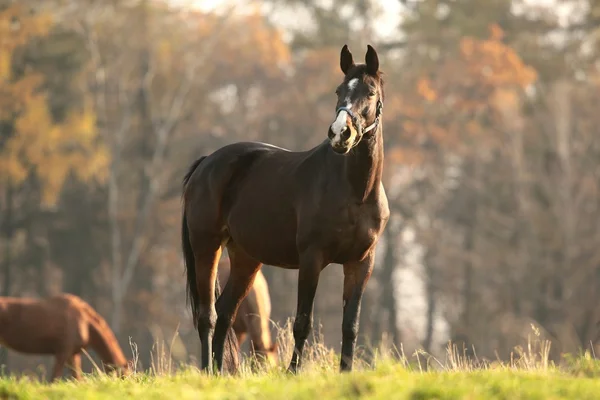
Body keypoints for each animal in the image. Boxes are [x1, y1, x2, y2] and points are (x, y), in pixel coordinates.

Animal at [0, 294, 131, 382]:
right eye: (124, 375)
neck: (85, 322)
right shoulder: (63, 351)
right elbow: (54, 379)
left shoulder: (73, 354)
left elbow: (77, 379)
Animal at [182, 45, 390, 374]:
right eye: (339, 90)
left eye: (370, 92)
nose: (340, 134)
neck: (357, 193)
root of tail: (206, 163)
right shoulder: (312, 259)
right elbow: (302, 322)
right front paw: (293, 372)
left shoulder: (361, 263)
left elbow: (350, 326)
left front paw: (345, 372)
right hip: (207, 247)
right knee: (208, 316)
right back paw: (207, 372)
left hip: (246, 258)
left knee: (226, 313)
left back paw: (221, 372)